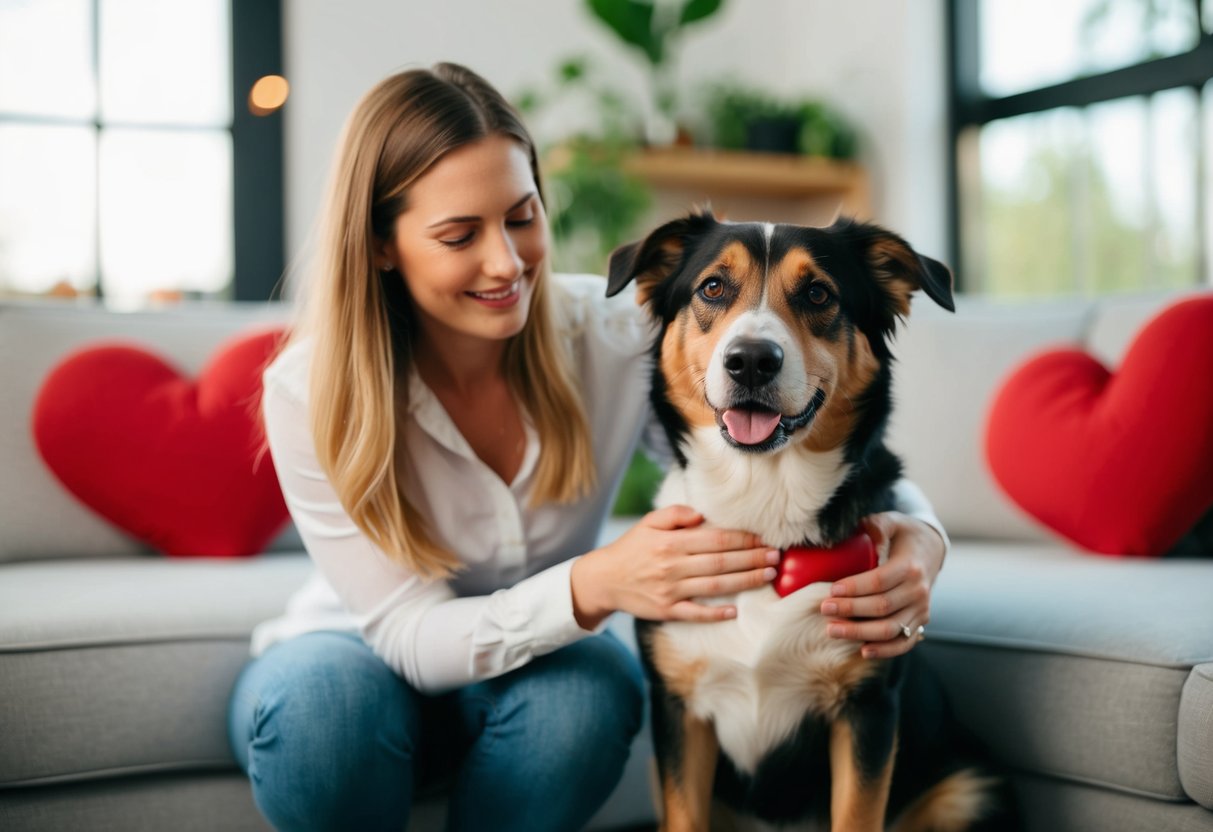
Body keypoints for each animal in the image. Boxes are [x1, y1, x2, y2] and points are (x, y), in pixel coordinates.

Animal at [604, 213, 1014, 832]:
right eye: (712, 287)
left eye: (818, 293)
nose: (751, 360)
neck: (765, 513)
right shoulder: (677, 714)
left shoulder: (867, 710)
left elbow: (858, 815)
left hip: (969, 790)